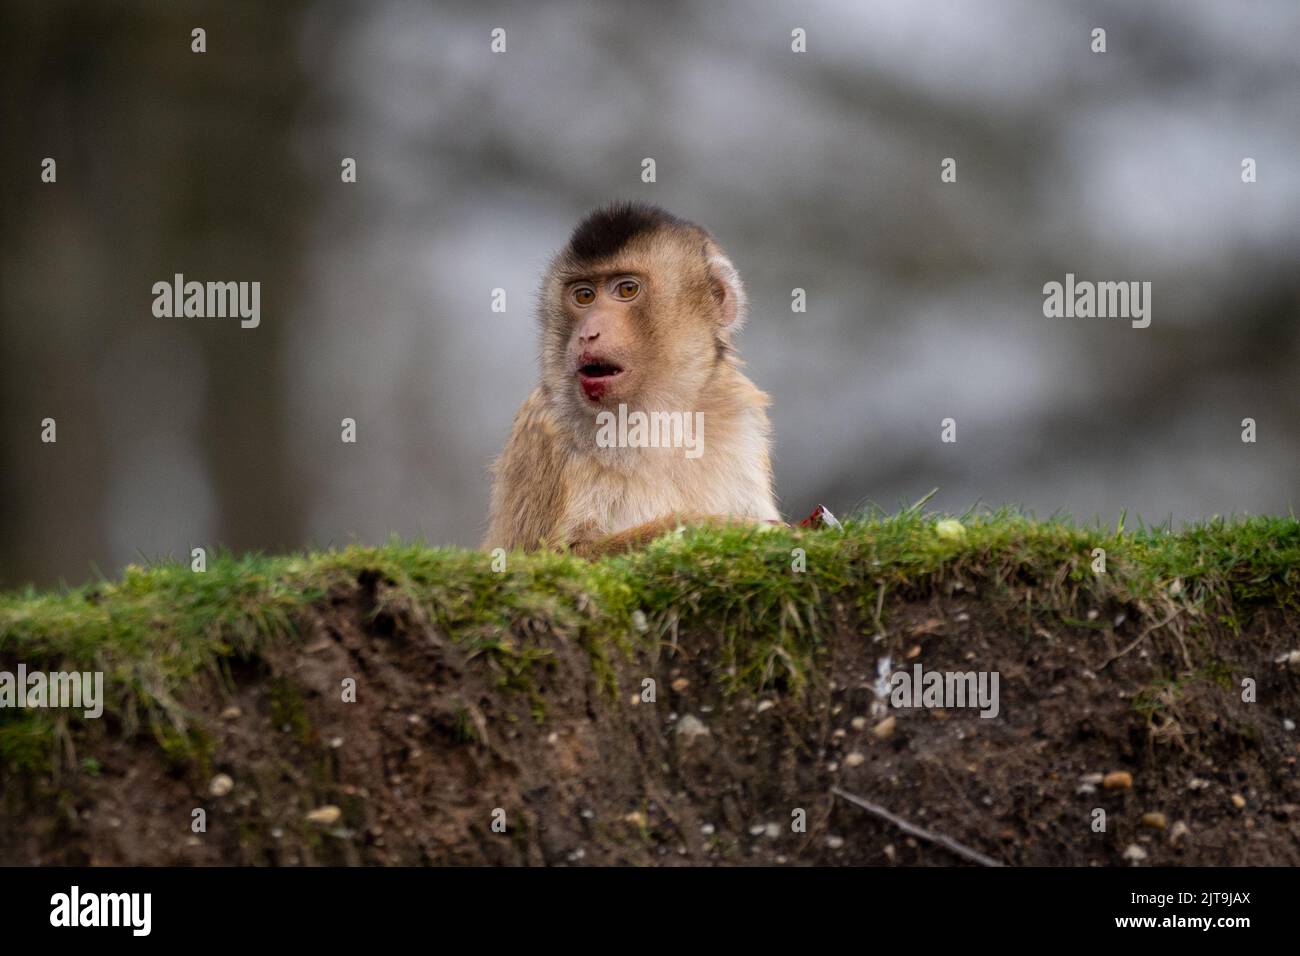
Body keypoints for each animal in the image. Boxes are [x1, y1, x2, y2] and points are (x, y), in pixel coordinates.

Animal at [483, 202, 774, 561]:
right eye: (584, 296)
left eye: (627, 289)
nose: (588, 333)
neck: (658, 416)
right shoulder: (547, 431)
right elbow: (558, 556)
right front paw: (715, 526)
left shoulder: (738, 413)